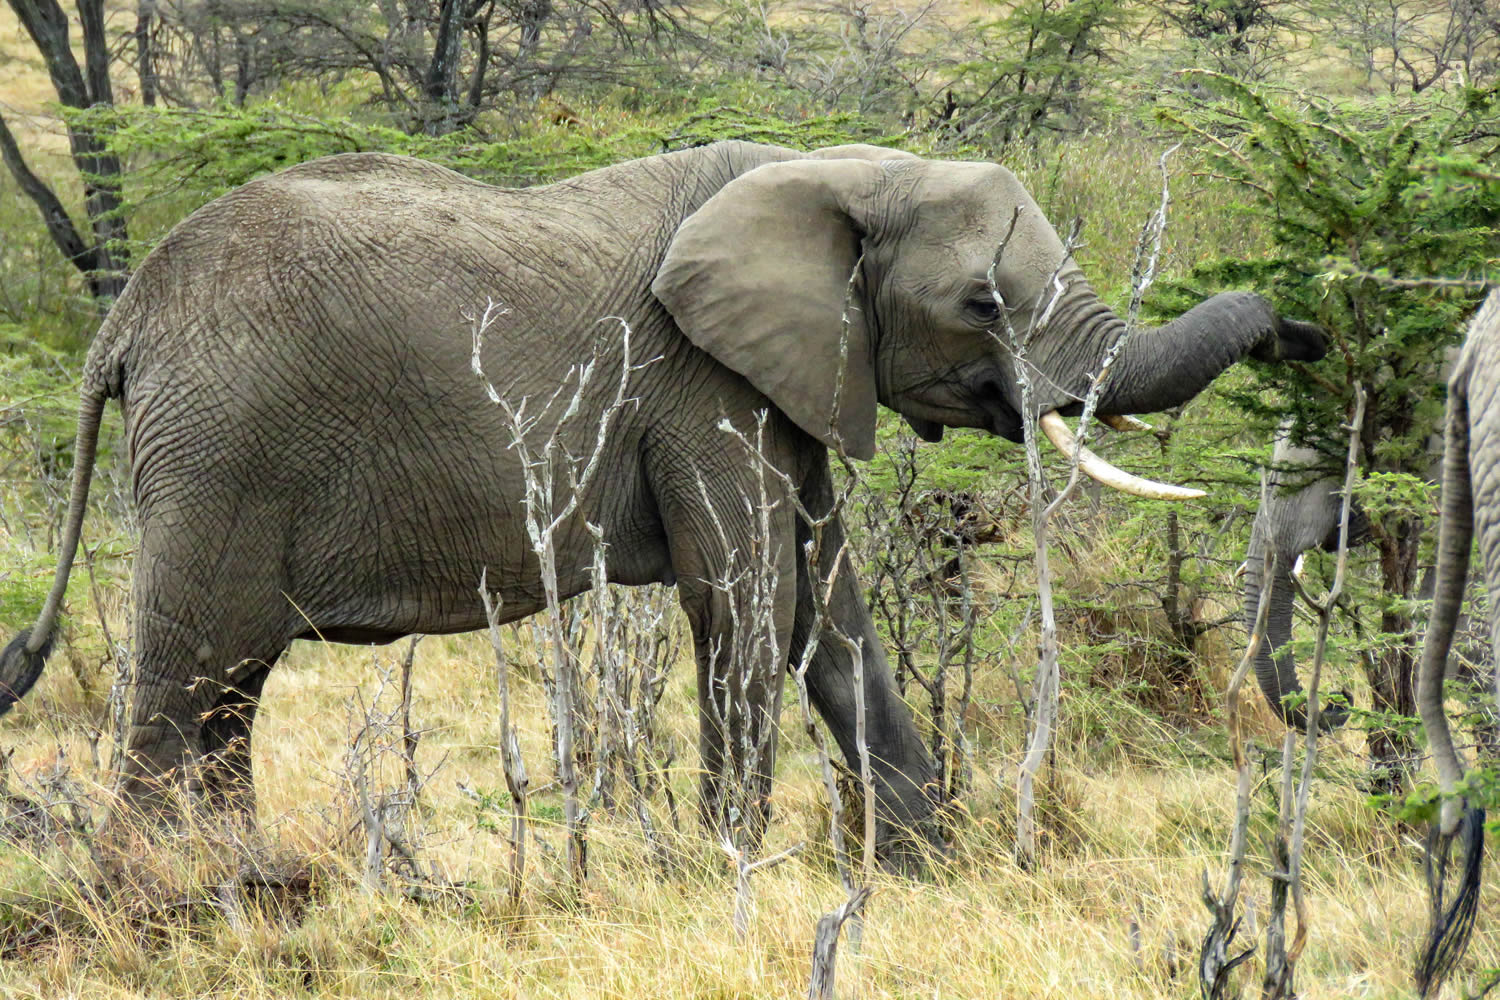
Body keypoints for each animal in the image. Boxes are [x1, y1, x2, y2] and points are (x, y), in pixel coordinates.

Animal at [0, 138, 1326, 863]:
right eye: (984, 303)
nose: (1309, 333)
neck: (838, 172)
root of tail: (125, 317)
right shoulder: (700, 388)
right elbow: (747, 601)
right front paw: (732, 863)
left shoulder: (791, 383)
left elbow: (827, 609)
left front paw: (925, 869)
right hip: (220, 454)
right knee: (188, 674)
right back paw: (177, 894)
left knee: (227, 693)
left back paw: (244, 877)